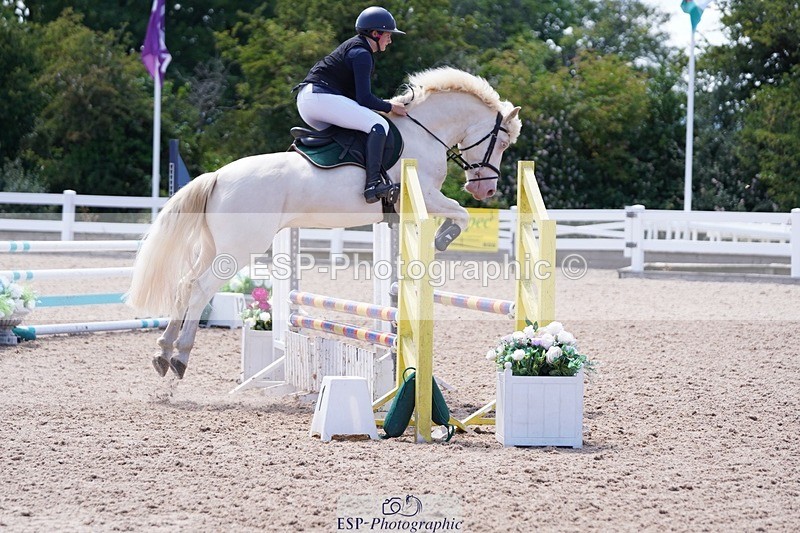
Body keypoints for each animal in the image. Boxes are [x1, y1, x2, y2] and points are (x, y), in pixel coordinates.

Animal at [126, 67, 522, 379]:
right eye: (502, 142)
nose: (486, 189)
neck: (425, 133)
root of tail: (218, 176)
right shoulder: (423, 194)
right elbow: (460, 214)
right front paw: (442, 238)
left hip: (215, 246)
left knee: (184, 285)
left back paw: (163, 352)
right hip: (238, 249)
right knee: (200, 289)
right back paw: (179, 356)